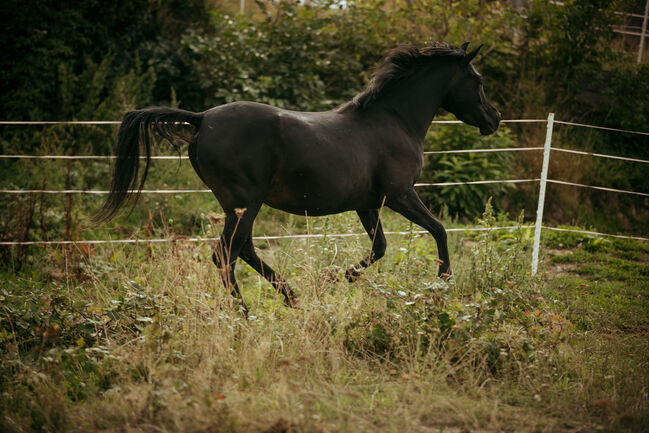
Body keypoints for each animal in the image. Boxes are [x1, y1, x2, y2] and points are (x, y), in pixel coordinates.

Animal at [96, 42, 502, 312]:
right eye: (478, 80)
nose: (494, 119)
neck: (393, 120)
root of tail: (202, 119)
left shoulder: (368, 205)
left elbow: (380, 248)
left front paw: (336, 279)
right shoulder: (401, 194)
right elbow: (439, 230)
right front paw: (443, 284)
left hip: (239, 205)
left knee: (242, 250)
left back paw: (292, 297)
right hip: (246, 202)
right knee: (226, 254)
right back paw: (246, 313)